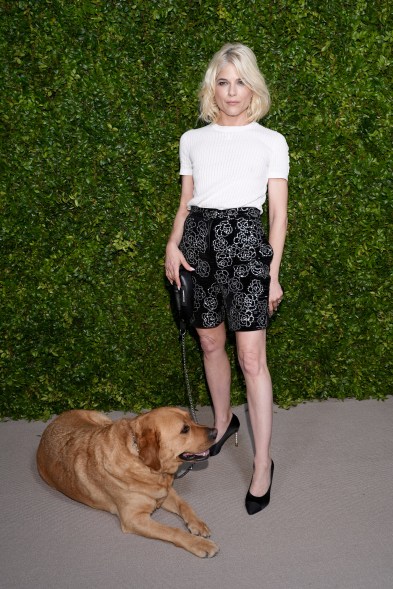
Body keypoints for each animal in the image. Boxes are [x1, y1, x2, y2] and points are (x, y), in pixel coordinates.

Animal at [37, 406, 219, 560]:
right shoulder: (134, 519)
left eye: (191, 419)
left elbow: (184, 505)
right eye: (185, 429)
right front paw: (199, 544)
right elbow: (173, 530)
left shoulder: (164, 492)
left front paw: (198, 524)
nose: (216, 431)